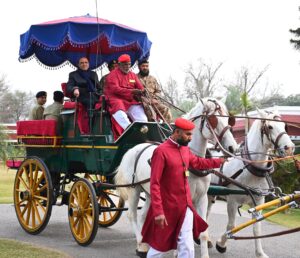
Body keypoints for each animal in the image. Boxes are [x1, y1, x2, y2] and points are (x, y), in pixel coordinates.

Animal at [210, 109, 294, 258]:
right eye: (270, 127)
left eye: (285, 126)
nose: (290, 148)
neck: (250, 170)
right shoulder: (232, 201)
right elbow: (231, 226)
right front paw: (221, 244)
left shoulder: (259, 201)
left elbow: (257, 228)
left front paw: (260, 253)